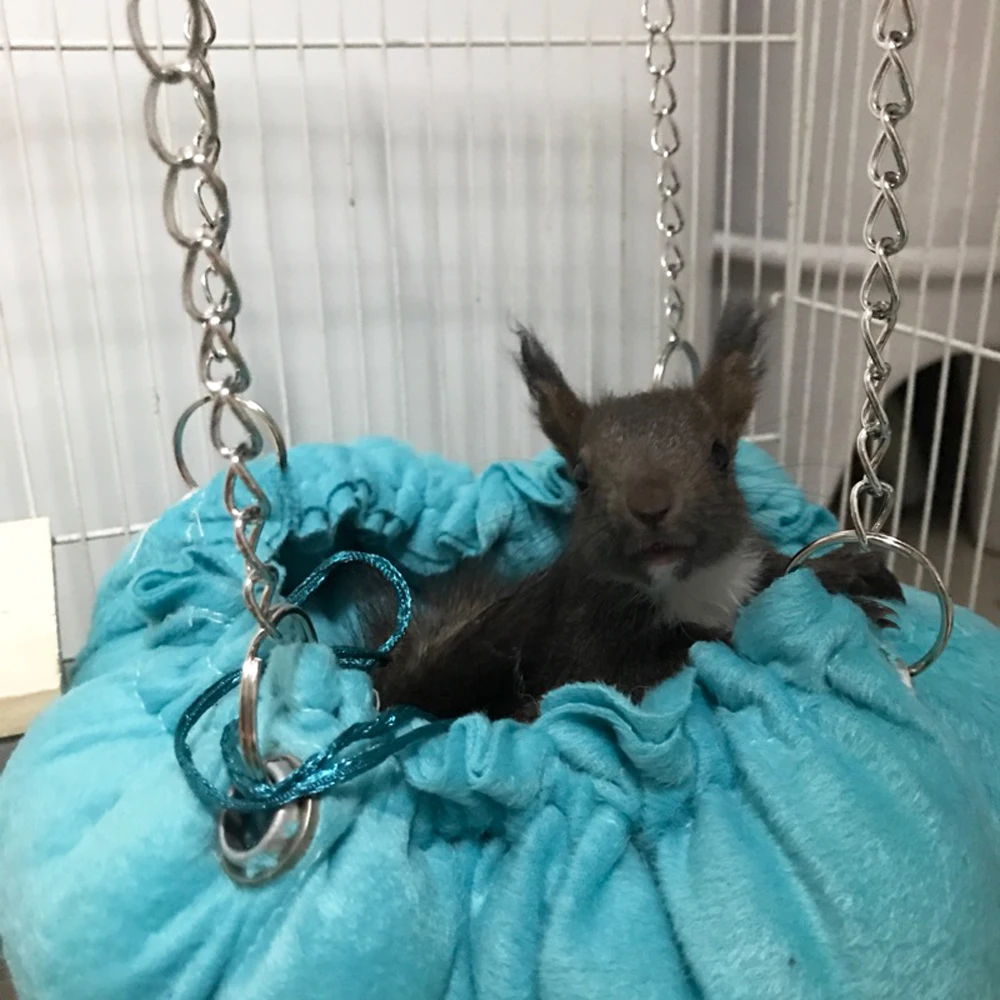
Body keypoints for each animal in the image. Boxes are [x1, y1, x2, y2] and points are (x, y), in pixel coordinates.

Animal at [362, 301, 904, 722]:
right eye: (580, 477)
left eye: (720, 453)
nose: (650, 507)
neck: (688, 588)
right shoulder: (584, 648)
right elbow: (683, 656)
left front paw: (843, 571)